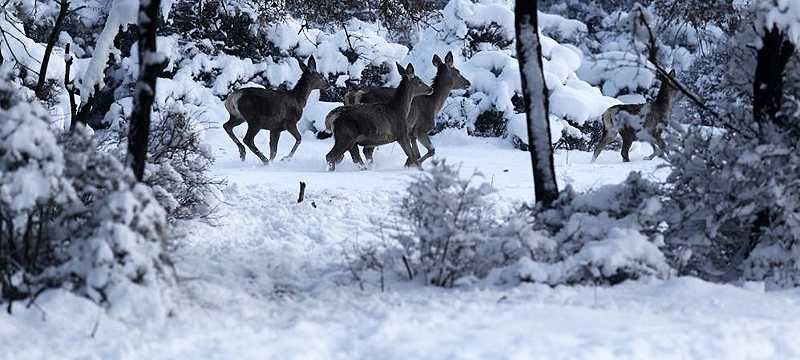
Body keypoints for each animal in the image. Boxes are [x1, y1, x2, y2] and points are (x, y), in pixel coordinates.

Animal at [318, 51, 468, 167]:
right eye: (458, 72)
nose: (468, 83)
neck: (433, 104)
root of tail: (354, 93)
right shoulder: (419, 129)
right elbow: (427, 152)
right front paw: (410, 165)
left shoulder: (411, 134)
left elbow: (417, 153)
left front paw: (409, 164)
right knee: (357, 153)